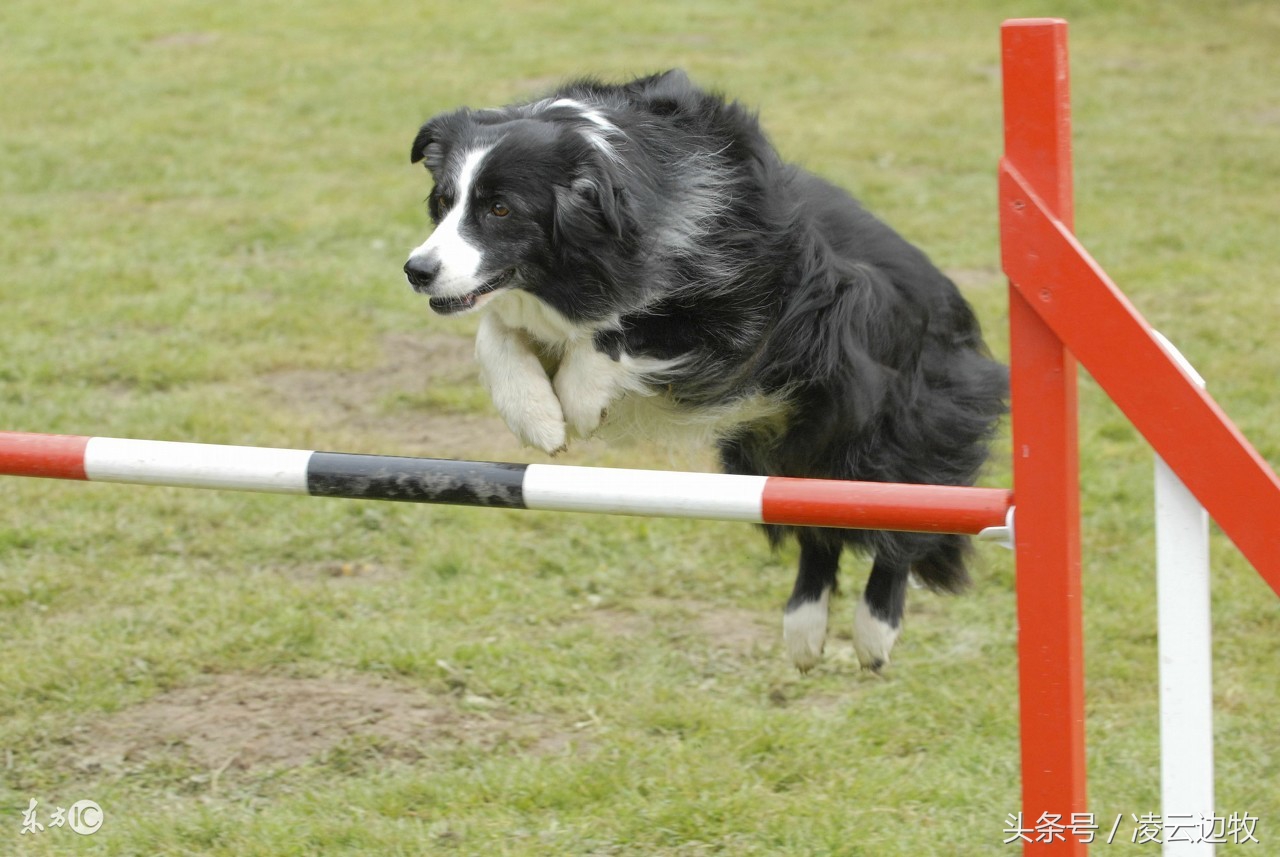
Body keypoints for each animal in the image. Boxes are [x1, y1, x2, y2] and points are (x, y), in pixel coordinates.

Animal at [404, 72, 1003, 670]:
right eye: (444, 201)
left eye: (501, 209)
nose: (417, 271)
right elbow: (494, 332)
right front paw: (537, 418)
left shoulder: (755, 301)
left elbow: (630, 325)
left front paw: (579, 403)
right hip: (780, 450)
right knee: (821, 524)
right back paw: (804, 631)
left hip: (891, 421)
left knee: (905, 512)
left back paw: (875, 633)